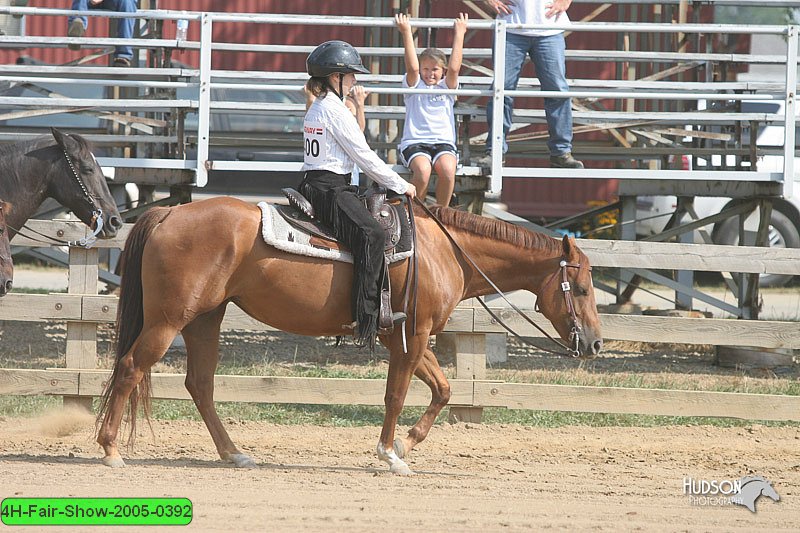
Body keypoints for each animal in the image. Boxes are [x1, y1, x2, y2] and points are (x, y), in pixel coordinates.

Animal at [98, 195, 600, 474]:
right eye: (581, 287)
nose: (595, 343)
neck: (444, 250)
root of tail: (169, 213)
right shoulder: (411, 335)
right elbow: (396, 394)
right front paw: (390, 454)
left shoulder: (405, 336)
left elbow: (442, 389)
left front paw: (406, 443)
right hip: (169, 319)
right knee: (130, 367)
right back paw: (110, 449)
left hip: (205, 318)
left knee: (200, 384)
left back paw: (234, 453)